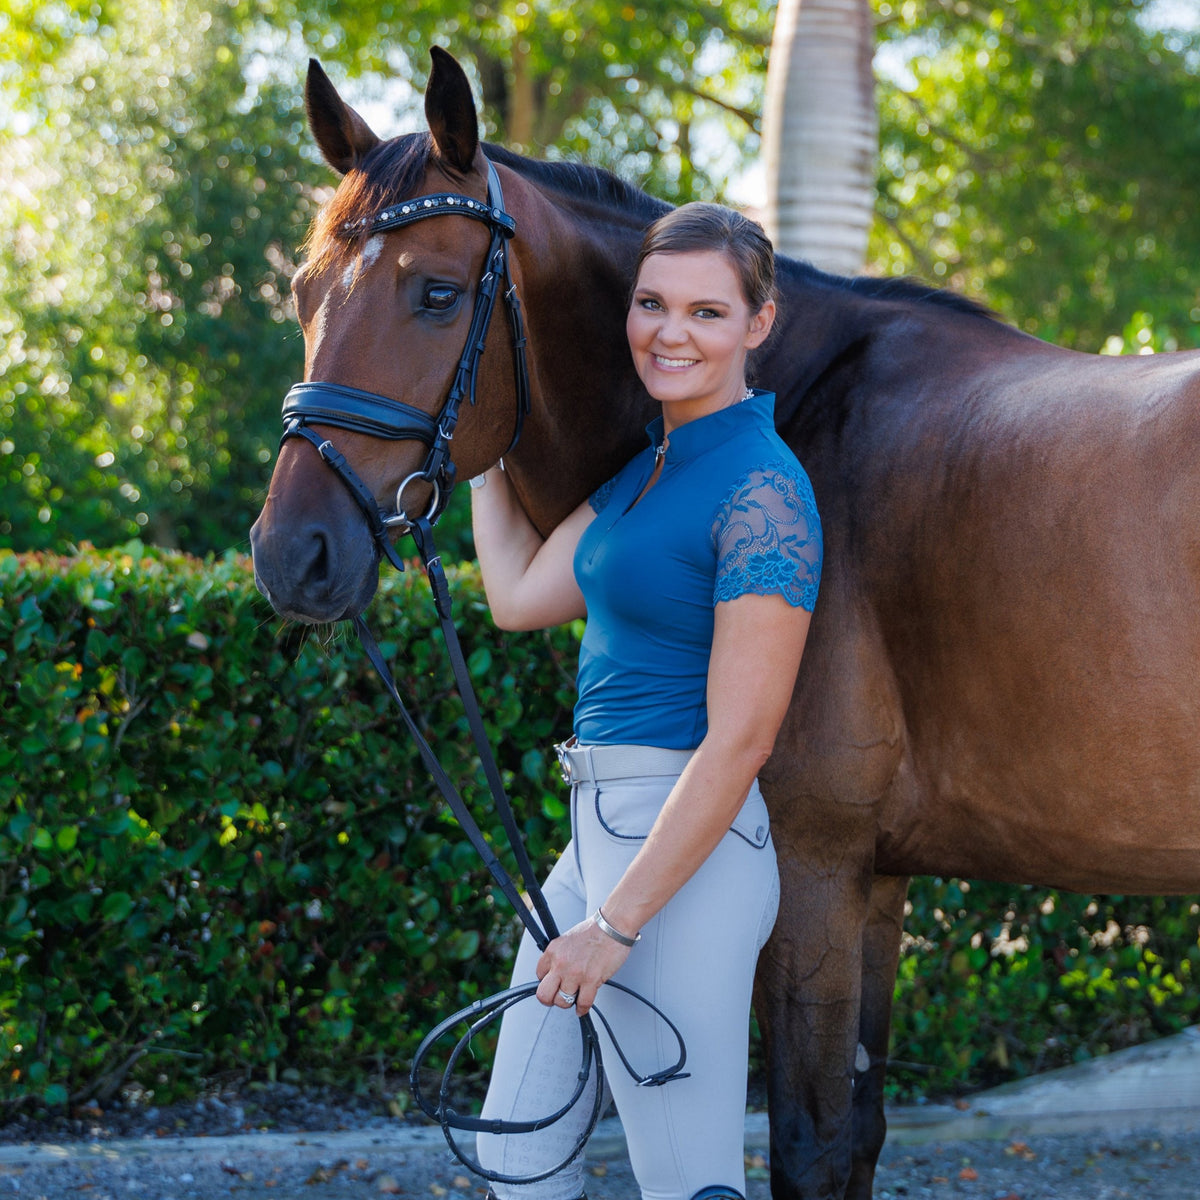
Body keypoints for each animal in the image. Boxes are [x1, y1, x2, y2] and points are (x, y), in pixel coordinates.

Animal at [246, 46, 1200, 1200]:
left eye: (435, 293)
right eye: (302, 292)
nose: (293, 553)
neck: (797, 406)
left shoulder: (815, 866)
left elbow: (809, 1140)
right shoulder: (879, 878)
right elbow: (859, 1129)